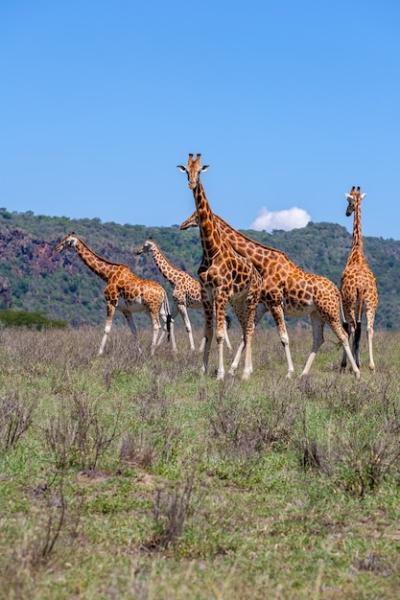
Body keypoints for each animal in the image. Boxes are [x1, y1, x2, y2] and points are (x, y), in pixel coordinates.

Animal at [177, 155, 260, 380]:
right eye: (186, 170)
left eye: (200, 171)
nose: (191, 184)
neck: (210, 250)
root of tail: (259, 276)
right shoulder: (207, 293)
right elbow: (208, 333)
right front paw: (202, 370)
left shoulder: (221, 292)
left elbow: (221, 334)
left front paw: (220, 374)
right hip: (238, 301)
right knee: (245, 329)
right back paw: (243, 370)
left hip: (252, 298)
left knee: (250, 329)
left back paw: (246, 372)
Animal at [180, 211, 360, 380]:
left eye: (195, 215)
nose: (183, 224)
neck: (262, 264)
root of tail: (336, 291)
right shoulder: (262, 306)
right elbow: (246, 334)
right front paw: (233, 370)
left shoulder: (275, 303)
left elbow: (283, 337)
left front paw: (289, 372)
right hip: (316, 313)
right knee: (318, 339)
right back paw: (303, 374)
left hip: (329, 311)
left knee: (343, 335)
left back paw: (356, 372)